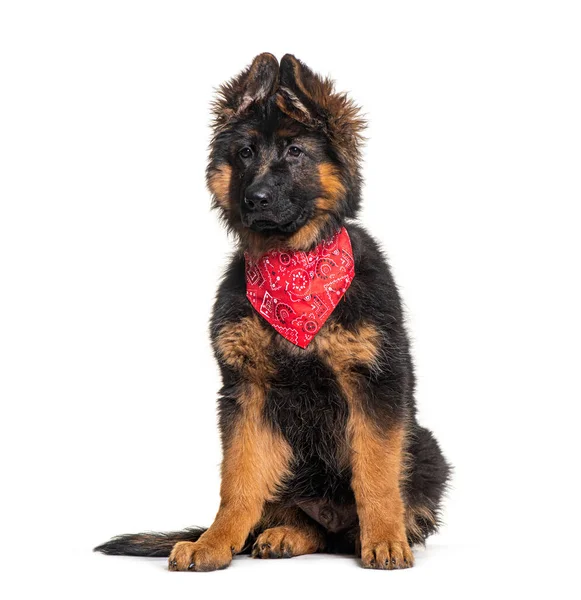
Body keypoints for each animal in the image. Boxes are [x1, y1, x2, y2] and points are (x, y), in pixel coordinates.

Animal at [94, 54, 448, 568]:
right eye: (245, 153)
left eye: (296, 152)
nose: (255, 199)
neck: (293, 267)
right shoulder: (246, 392)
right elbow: (238, 482)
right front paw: (215, 542)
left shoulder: (375, 385)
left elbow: (377, 474)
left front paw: (384, 538)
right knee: (301, 520)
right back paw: (283, 534)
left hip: (426, 449)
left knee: (359, 519)